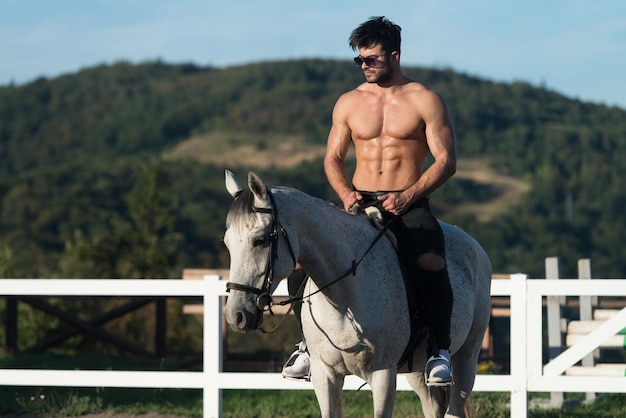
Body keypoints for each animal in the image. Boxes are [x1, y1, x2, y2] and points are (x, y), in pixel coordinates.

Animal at [224, 171, 492, 418]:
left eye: (260, 240)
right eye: (227, 243)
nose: (236, 316)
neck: (343, 300)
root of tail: (474, 246)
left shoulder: (383, 375)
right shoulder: (325, 375)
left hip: (467, 357)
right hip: (417, 372)